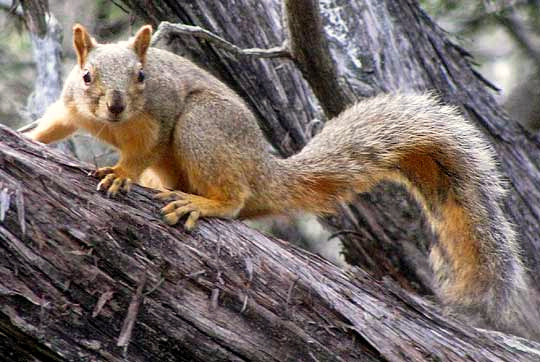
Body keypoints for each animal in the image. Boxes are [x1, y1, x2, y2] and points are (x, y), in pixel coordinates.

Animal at [23, 24, 536, 340]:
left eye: (142, 75)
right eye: (86, 75)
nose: (115, 105)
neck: (110, 126)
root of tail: (261, 169)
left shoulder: (161, 120)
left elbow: (142, 152)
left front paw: (119, 174)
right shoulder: (70, 108)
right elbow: (54, 124)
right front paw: (28, 136)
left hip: (201, 128)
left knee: (234, 200)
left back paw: (201, 203)